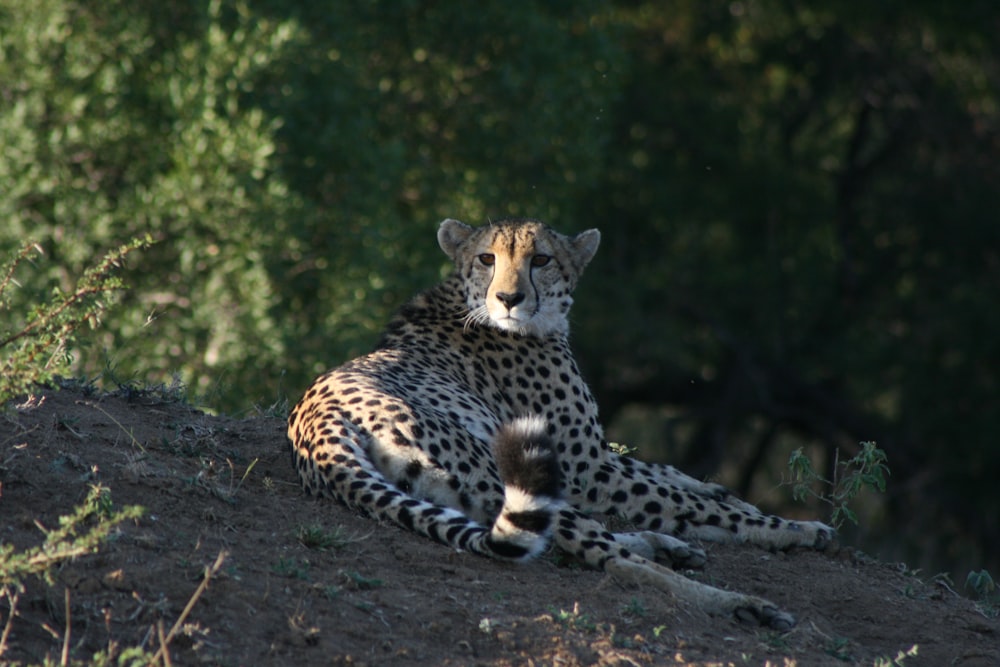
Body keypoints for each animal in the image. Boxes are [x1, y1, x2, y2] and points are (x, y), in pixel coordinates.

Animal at [286, 219, 832, 632]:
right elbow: (685, 500)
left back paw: (669, 546)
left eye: (541, 260)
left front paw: (732, 498)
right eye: (487, 258)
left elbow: (673, 477)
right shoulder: (585, 468)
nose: (509, 298)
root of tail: (316, 425)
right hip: (504, 469)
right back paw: (739, 603)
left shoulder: (596, 457)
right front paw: (795, 528)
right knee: (613, 559)